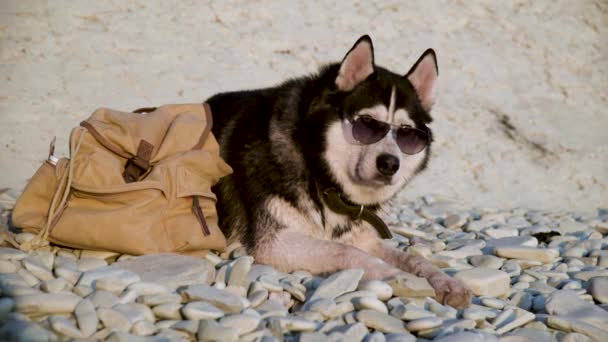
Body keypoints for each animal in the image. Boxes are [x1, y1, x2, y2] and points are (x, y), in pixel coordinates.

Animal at [207, 35, 472, 310]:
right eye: (367, 123)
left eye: (407, 133)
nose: (390, 164)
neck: (318, 173)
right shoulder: (270, 243)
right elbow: (344, 251)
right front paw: (397, 276)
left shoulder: (364, 239)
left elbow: (412, 258)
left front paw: (443, 281)